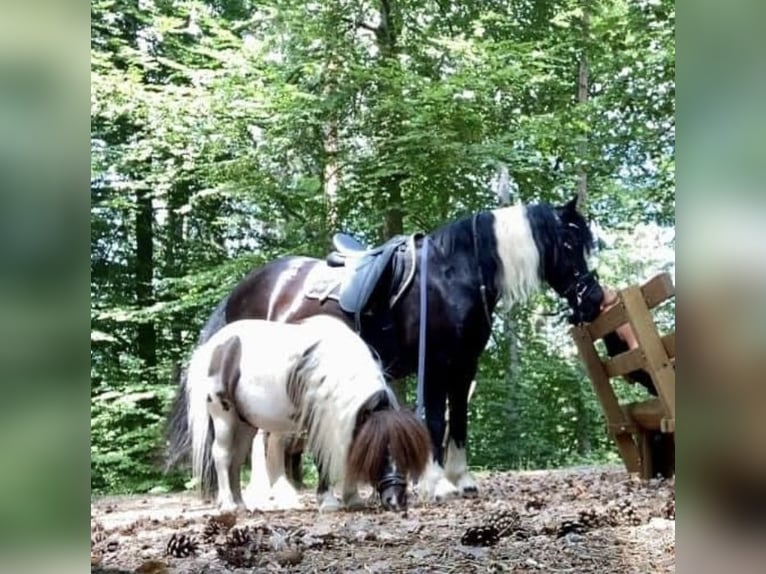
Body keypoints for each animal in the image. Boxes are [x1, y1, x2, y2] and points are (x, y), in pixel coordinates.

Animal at [185, 318, 432, 516]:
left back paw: (240, 505)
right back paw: (228, 505)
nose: (396, 501)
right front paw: (329, 502)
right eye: (380, 453)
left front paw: (352, 499)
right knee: (222, 455)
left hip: (245, 423)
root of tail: (215, 346)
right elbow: (323, 458)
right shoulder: (317, 420)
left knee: (235, 459)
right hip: (223, 417)